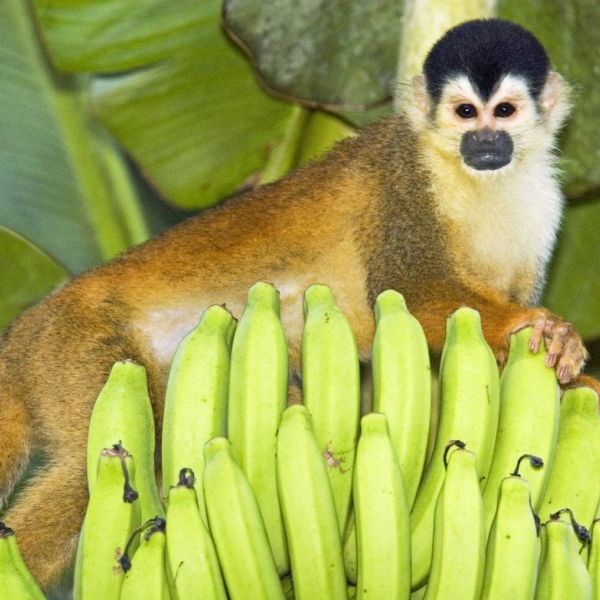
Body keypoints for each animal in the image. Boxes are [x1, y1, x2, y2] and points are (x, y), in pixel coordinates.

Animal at [0, 17, 592, 584]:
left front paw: (573, 376)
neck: (474, 178)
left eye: (504, 112)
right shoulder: (403, 180)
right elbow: (417, 293)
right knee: (98, 467)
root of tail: (26, 330)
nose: (485, 141)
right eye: (466, 112)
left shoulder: (543, 207)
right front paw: (541, 329)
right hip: (76, 349)